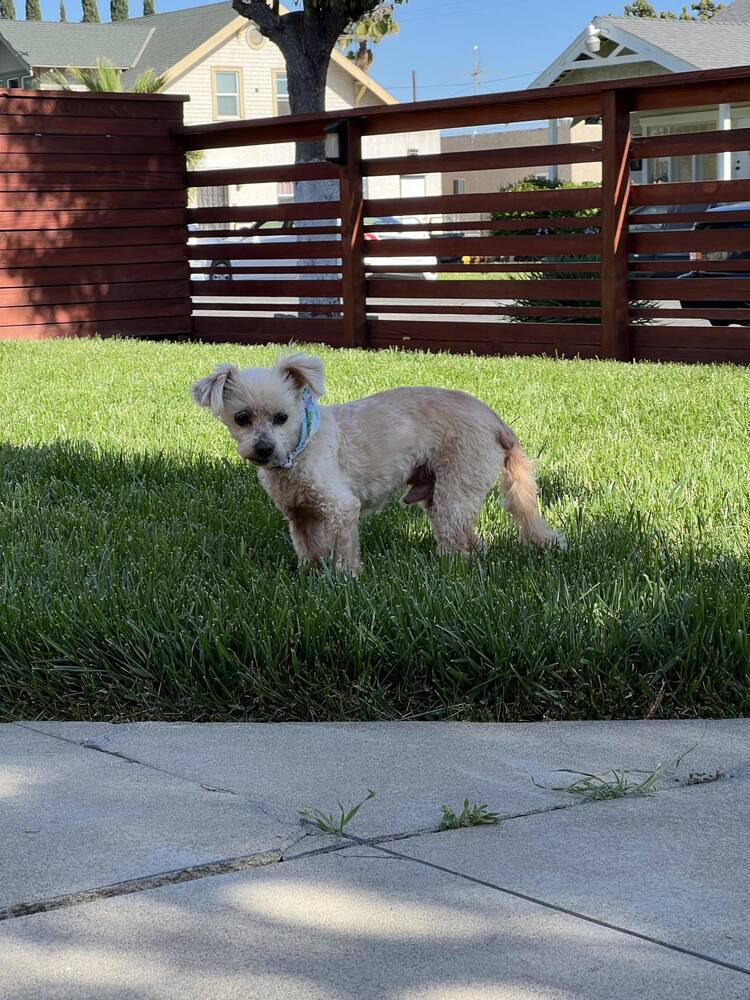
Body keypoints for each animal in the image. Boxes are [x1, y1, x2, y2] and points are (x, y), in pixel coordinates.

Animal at [191, 354, 568, 576]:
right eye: (241, 418)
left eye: (282, 417)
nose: (264, 449)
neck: (301, 448)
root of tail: (495, 421)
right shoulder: (298, 515)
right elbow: (308, 549)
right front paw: (310, 574)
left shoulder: (341, 507)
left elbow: (344, 551)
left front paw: (345, 578)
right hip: (439, 496)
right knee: (471, 541)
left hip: (456, 490)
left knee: (460, 542)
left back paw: (452, 571)